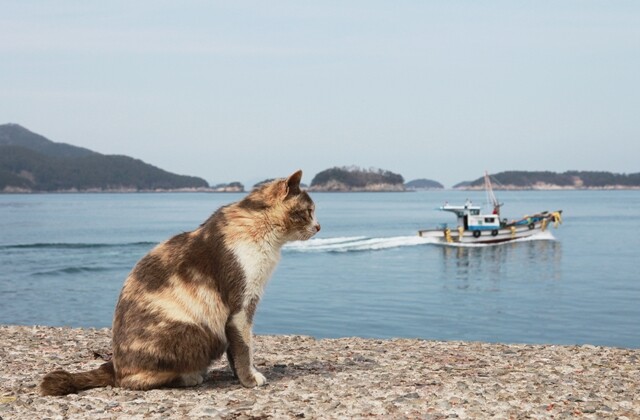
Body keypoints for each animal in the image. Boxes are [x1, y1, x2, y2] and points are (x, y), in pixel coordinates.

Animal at [40, 169, 320, 396]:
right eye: (308, 211)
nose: (319, 226)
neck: (263, 231)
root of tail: (115, 365)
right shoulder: (241, 306)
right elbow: (244, 347)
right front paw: (250, 379)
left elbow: (236, 351)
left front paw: (239, 377)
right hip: (197, 333)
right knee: (130, 382)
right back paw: (189, 377)